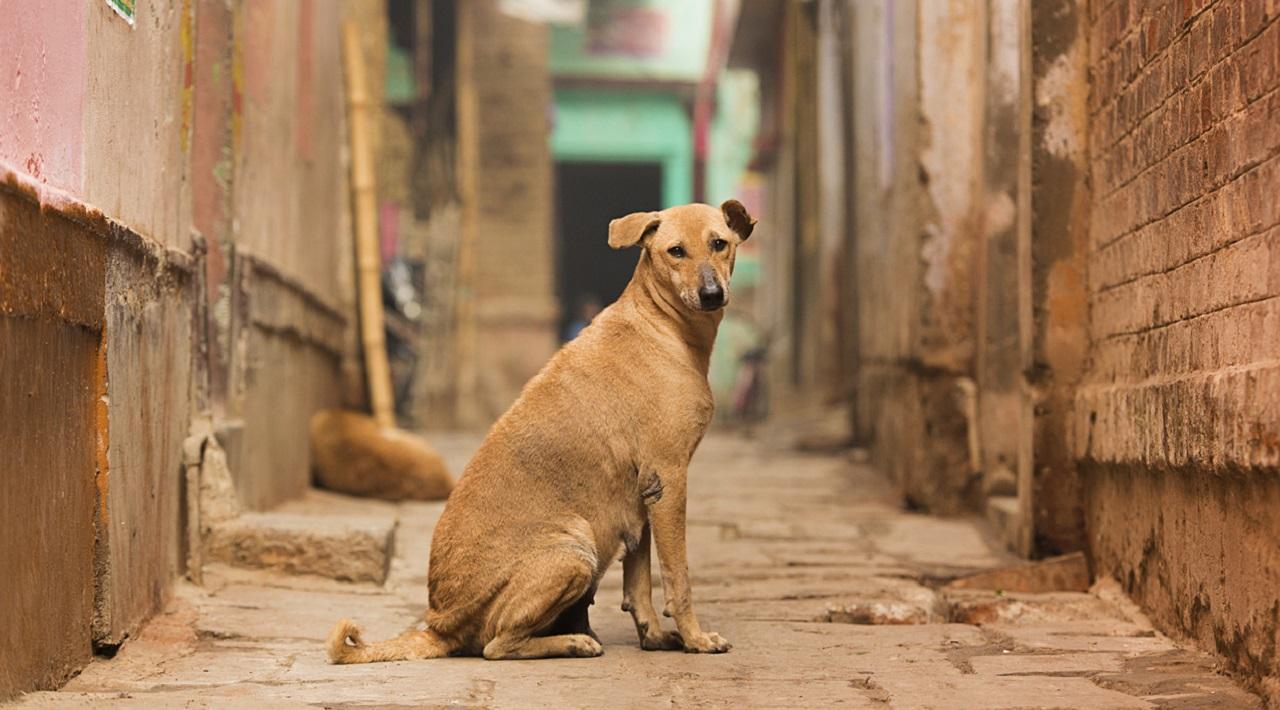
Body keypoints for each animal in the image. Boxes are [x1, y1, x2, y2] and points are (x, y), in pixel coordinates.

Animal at [325, 198, 752, 660]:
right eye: (676, 251)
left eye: (719, 244)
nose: (712, 294)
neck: (661, 325)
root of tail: (438, 627)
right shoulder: (669, 480)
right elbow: (678, 577)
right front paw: (696, 639)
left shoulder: (642, 499)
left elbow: (639, 584)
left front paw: (654, 637)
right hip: (575, 548)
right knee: (498, 644)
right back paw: (573, 642)